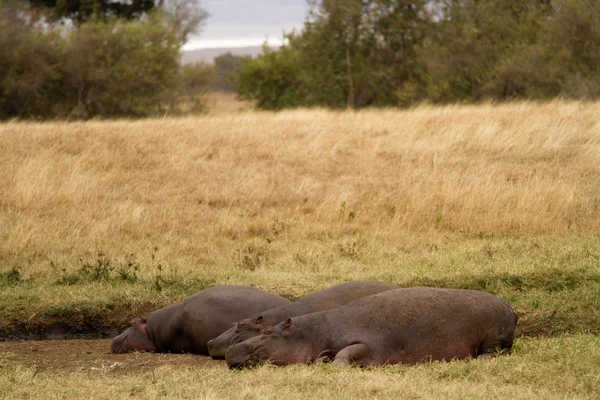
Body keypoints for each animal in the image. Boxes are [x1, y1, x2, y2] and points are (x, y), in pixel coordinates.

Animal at [227, 288, 516, 368]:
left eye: (267, 332)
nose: (230, 350)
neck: (312, 332)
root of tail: (510, 307)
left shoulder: (368, 343)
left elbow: (348, 352)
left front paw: (337, 366)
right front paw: (323, 361)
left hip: (492, 336)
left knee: (494, 351)